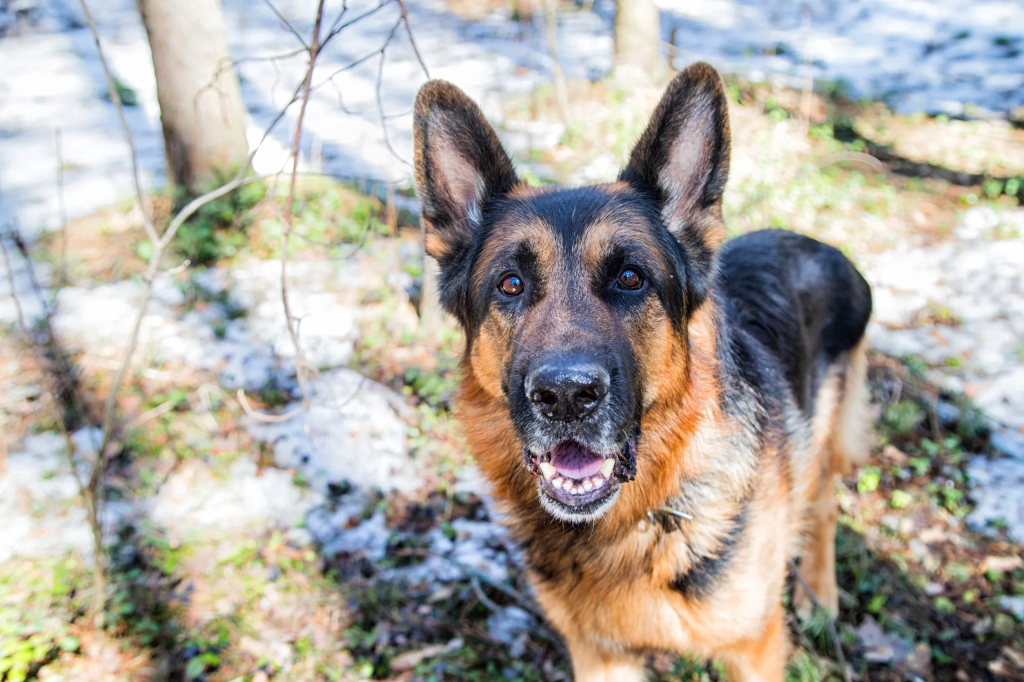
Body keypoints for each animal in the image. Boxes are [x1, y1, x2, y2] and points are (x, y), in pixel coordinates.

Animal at [413, 62, 872, 675]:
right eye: (510, 284)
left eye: (630, 277)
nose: (566, 396)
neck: (639, 518)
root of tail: (820, 244)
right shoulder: (600, 657)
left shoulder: (754, 652)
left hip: (825, 432)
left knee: (824, 503)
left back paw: (820, 594)